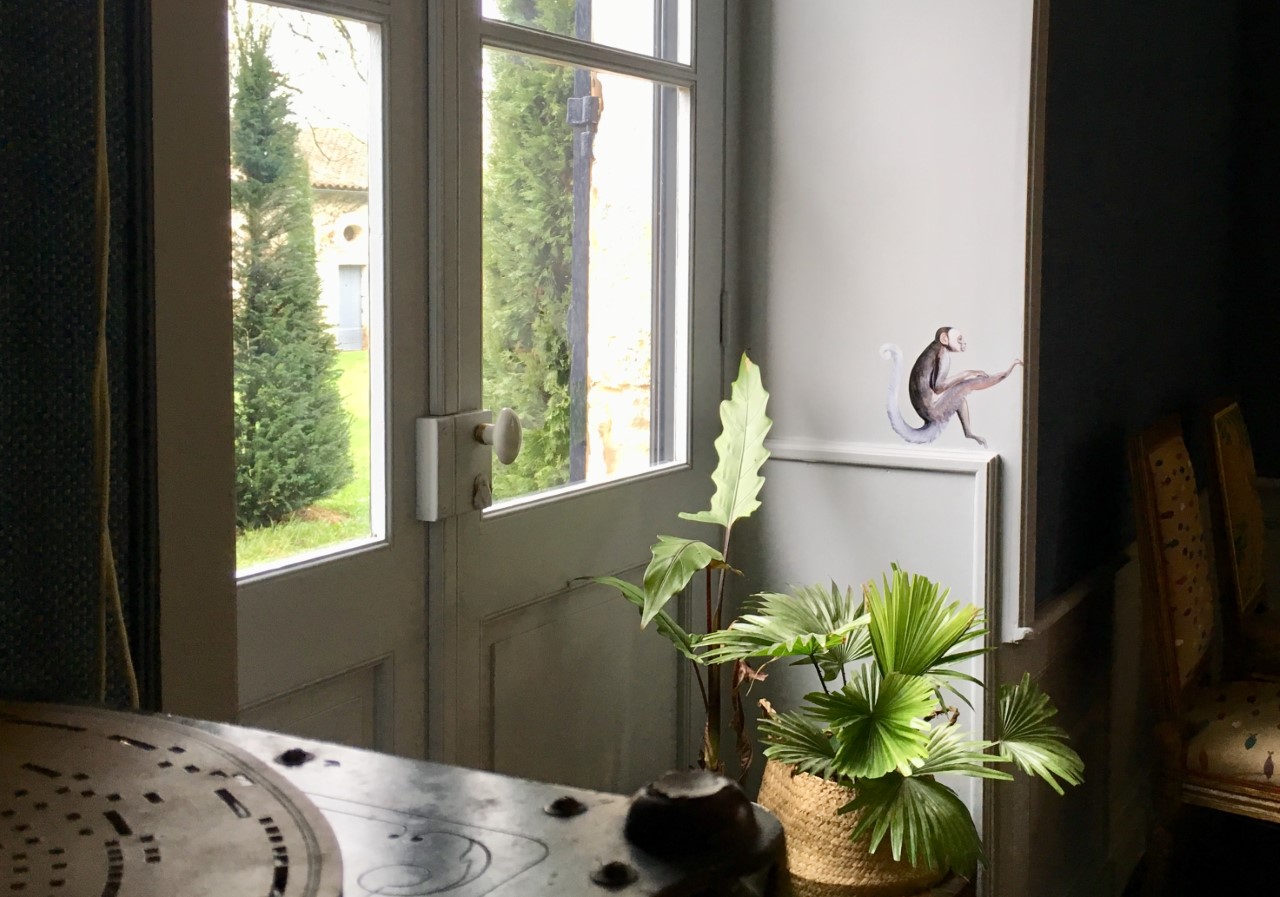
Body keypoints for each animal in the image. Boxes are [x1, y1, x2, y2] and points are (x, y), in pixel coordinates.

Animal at [880, 327, 1022, 448]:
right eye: (960, 339)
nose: (965, 343)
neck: (938, 344)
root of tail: (928, 419)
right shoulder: (944, 356)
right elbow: (938, 387)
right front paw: (974, 372)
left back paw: (969, 434)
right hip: (939, 410)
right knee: (965, 386)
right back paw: (1005, 373)